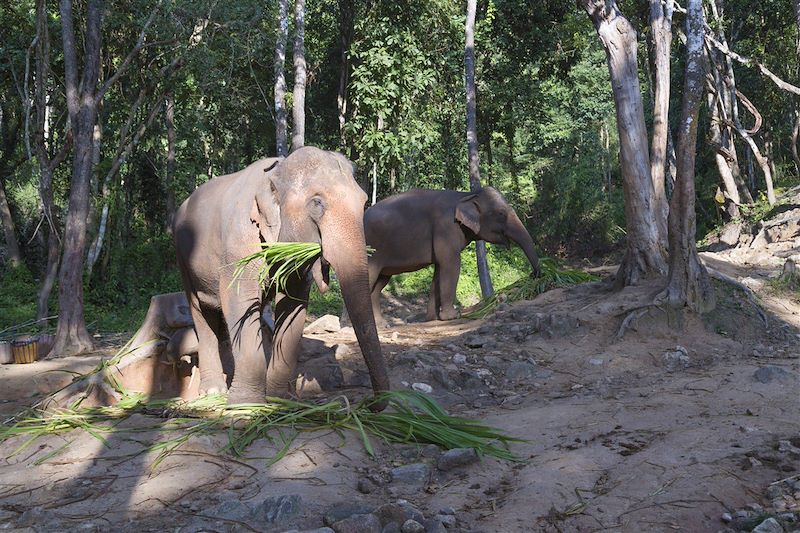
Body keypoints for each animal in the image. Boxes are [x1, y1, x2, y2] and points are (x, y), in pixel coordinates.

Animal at [173, 148, 390, 406]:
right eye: (317, 202)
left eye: (364, 201)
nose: (369, 404)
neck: (275, 173)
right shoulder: (240, 241)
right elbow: (238, 300)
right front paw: (246, 405)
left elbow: (292, 306)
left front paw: (280, 400)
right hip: (184, 261)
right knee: (200, 311)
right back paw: (213, 391)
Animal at [366, 185, 540, 326]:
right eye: (501, 213)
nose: (533, 275)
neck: (466, 195)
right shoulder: (446, 227)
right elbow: (451, 264)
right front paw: (452, 316)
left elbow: (439, 270)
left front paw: (433, 318)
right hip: (371, 251)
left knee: (378, 284)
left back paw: (382, 325)